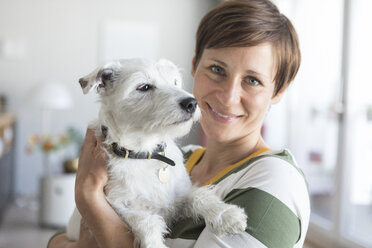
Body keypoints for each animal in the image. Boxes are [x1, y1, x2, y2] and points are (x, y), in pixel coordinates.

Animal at [67, 58, 247, 248]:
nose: (191, 103)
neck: (145, 152)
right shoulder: (118, 205)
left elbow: (199, 195)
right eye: (144, 87)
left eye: (174, 82)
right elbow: (147, 221)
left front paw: (227, 214)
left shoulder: (179, 196)